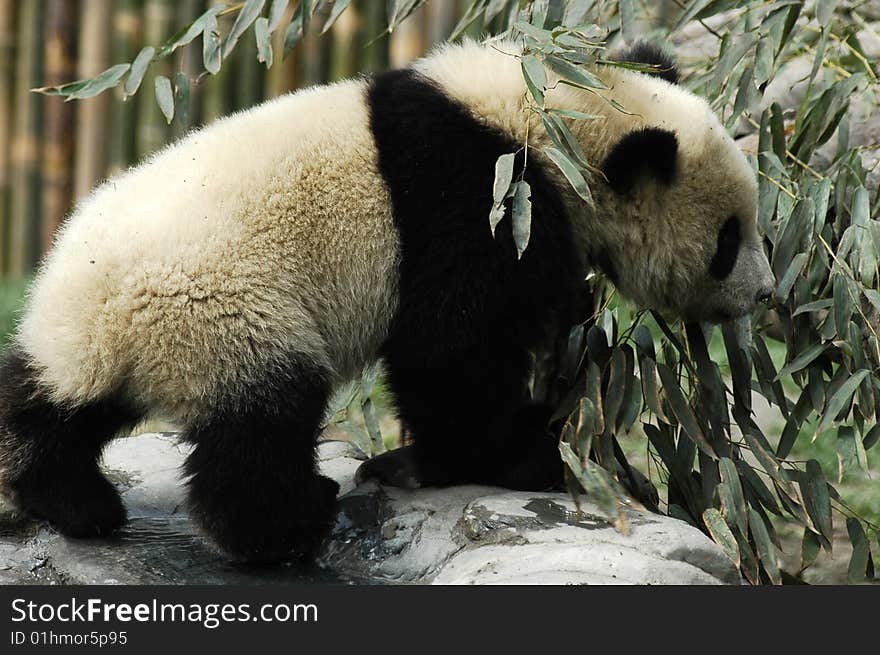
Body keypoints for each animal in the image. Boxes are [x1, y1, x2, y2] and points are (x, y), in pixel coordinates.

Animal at [0, 41, 768, 564]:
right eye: (728, 238)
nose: (762, 293)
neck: (549, 116)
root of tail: (104, 313)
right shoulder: (479, 200)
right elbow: (451, 350)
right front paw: (514, 458)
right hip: (227, 309)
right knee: (260, 425)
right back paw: (289, 524)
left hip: (81, 338)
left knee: (50, 407)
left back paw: (71, 500)